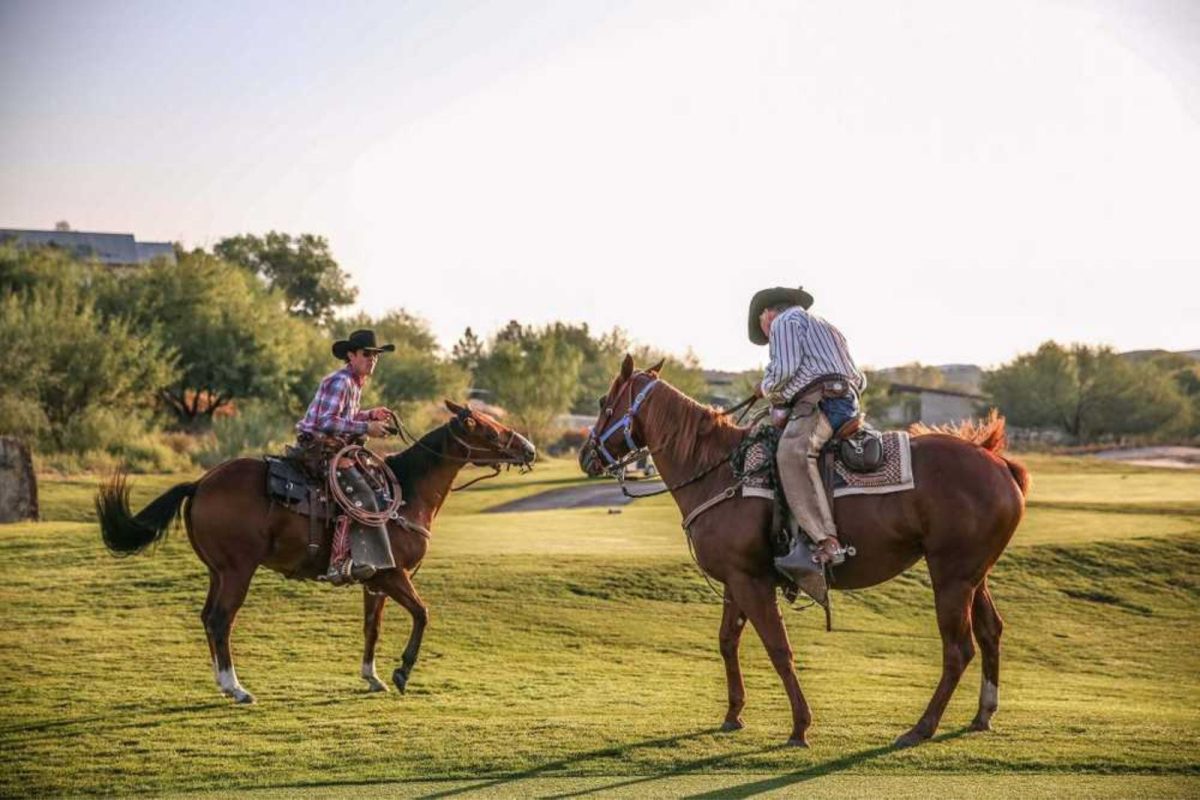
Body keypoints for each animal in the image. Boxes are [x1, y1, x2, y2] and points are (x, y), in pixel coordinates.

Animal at [96, 400, 537, 700]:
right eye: (488, 429)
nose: (529, 448)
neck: (407, 492)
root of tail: (200, 483)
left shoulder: (375, 580)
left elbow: (372, 626)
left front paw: (373, 676)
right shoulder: (394, 574)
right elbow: (422, 614)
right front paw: (402, 672)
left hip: (217, 571)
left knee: (207, 618)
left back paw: (223, 683)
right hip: (238, 571)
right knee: (221, 620)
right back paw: (236, 688)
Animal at [576, 359, 1027, 748]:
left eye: (603, 402)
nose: (586, 455)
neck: (720, 471)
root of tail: (997, 462)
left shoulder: (752, 581)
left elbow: (779, 649)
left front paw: (799, 726)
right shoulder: (735, 581)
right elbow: (727, 641)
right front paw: (733, 714)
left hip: (950, 577)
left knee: (958, 649)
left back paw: (921, 727)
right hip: (973, 576)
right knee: (990, 632)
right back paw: (982, 714)